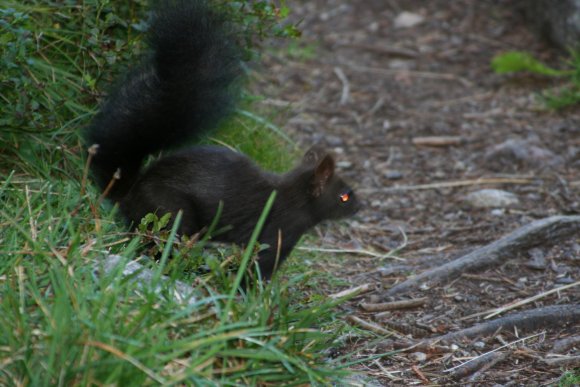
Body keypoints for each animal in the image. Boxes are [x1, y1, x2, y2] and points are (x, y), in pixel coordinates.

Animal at [85, 0, 358, 278]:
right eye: (344, 196)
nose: (360, 206)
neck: (293, 199)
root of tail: (130, 193)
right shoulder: (276, 234)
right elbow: (259, 267)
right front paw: (252, 287)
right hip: (171, 213)